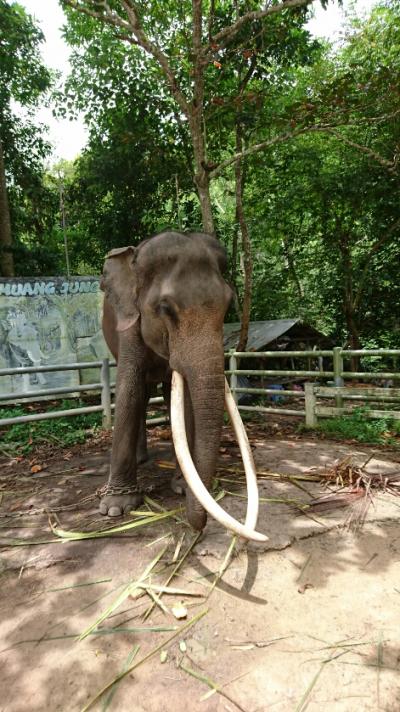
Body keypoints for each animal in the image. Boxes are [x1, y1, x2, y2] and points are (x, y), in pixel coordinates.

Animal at [101, 231, 266, 544]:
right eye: (165, 308)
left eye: (228, 305)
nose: (197, 528)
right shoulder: (129, 326)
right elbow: (129, 389)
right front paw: (117, 508)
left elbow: (186, 400)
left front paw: (182, 488)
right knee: (142, 395)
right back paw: (141, 461)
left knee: (166, 393)